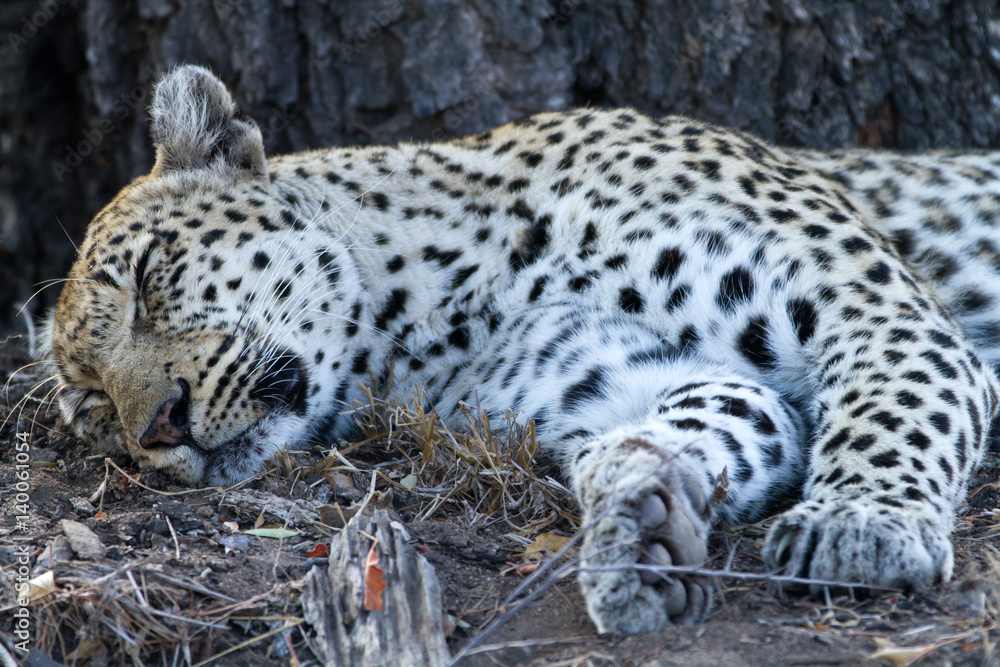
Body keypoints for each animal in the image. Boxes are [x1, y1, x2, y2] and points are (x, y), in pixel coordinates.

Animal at [44, 65, 1000, 634]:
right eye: (93, 408)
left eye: (150, 278)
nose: (159, 427)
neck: (437, 310)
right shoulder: (623, 380)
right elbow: (697, 421)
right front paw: (642, 521)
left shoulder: (866, 306)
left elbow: (894, 406)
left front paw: (861, 524)